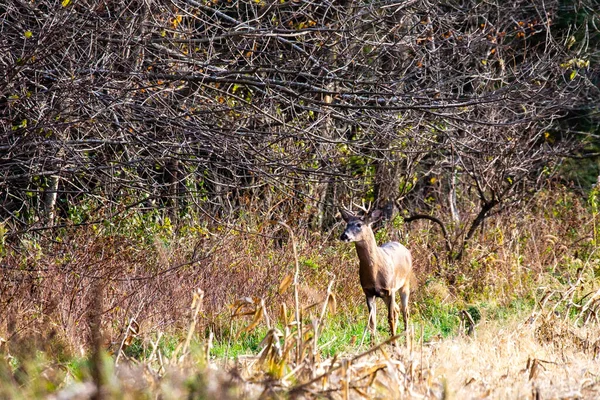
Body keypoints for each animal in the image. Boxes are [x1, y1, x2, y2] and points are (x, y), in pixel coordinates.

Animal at [342, 206, 412, 344]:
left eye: (359, 224)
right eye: (347, 224)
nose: (344, 235)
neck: (374, 273)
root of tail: (406, 249)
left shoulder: (390, 289)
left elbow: (390, 317)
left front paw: (394, 344)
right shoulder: (368, 292)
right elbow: (372, 321)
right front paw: (372, 344)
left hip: (405, 283)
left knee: (405, 311)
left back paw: (406, 341)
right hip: (384, 294)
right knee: (397, 309)